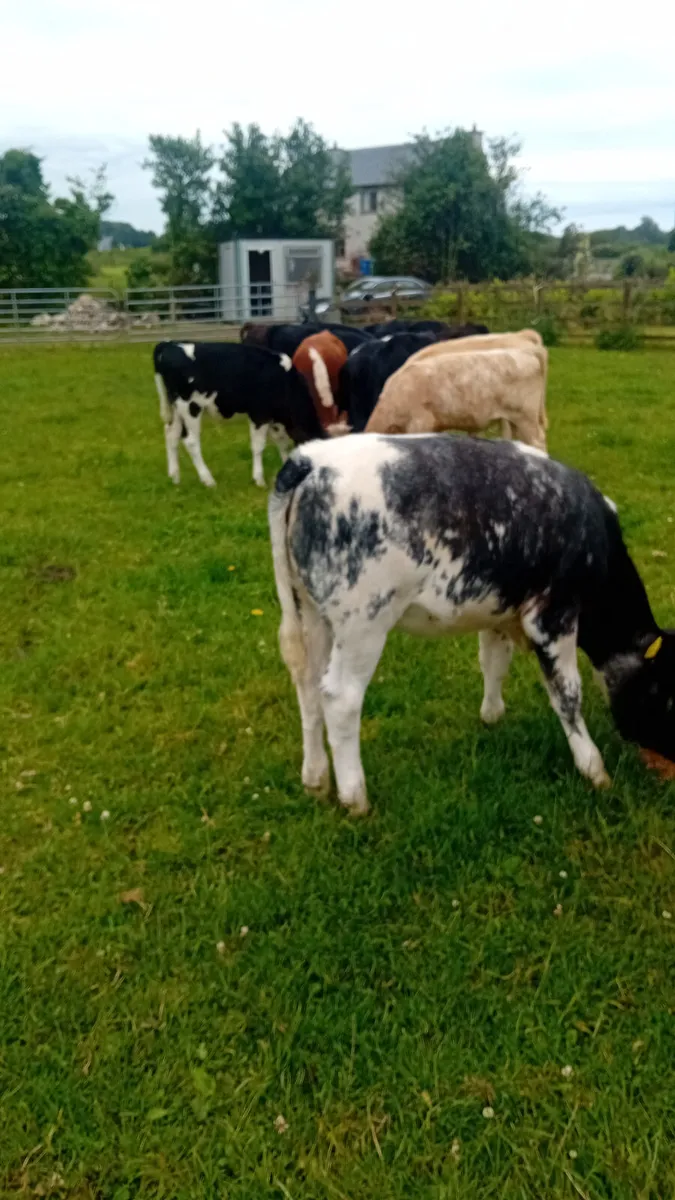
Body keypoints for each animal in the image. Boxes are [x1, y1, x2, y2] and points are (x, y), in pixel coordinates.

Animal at [153, 338, 321, 487]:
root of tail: (169, 344)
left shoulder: (275, 419)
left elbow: (283, 444)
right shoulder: (259, 414)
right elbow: (258, 446)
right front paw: (259, 479)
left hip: (176, 408)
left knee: (171, 434)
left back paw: (175, 477)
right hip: (190, 407)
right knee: (191, 441)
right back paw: (208, 480)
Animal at [267, 434, 672, 816]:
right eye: (668, 698)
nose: (668, 773)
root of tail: (310, 459)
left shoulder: (500, 610)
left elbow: (494, 662)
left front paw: (492, 717)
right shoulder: (552, 616)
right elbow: (566, 693)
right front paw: (593, 767)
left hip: (310, 613)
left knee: (308, 684)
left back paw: (315, 778)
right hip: (363, 623)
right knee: (340, 697)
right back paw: (354, 797)